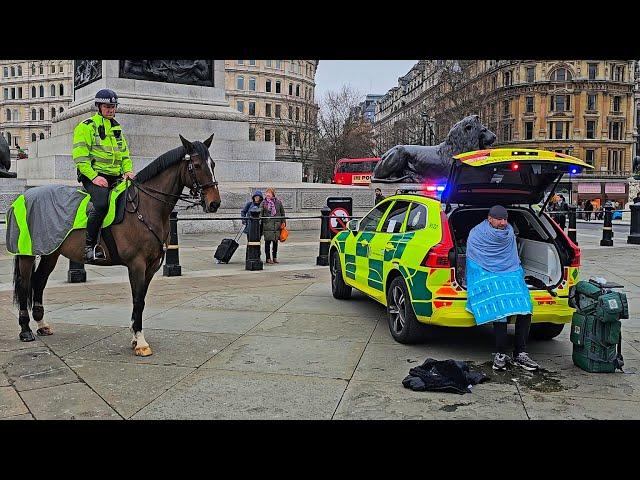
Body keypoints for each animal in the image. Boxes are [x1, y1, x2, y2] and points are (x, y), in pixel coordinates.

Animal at [12, 135, 221, 356]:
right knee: (25, 285)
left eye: (213, 164)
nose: (214, 203)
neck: (146, 208)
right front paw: (140, 340)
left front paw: (135, 336)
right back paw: (25, 330)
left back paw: (42, 324)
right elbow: (138, 299)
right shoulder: (136, 264)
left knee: (39, 281)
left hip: (51, 252)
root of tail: (24, 196)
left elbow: (141, 298)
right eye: (196, 165)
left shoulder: (151, 266)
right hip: (26, 254)